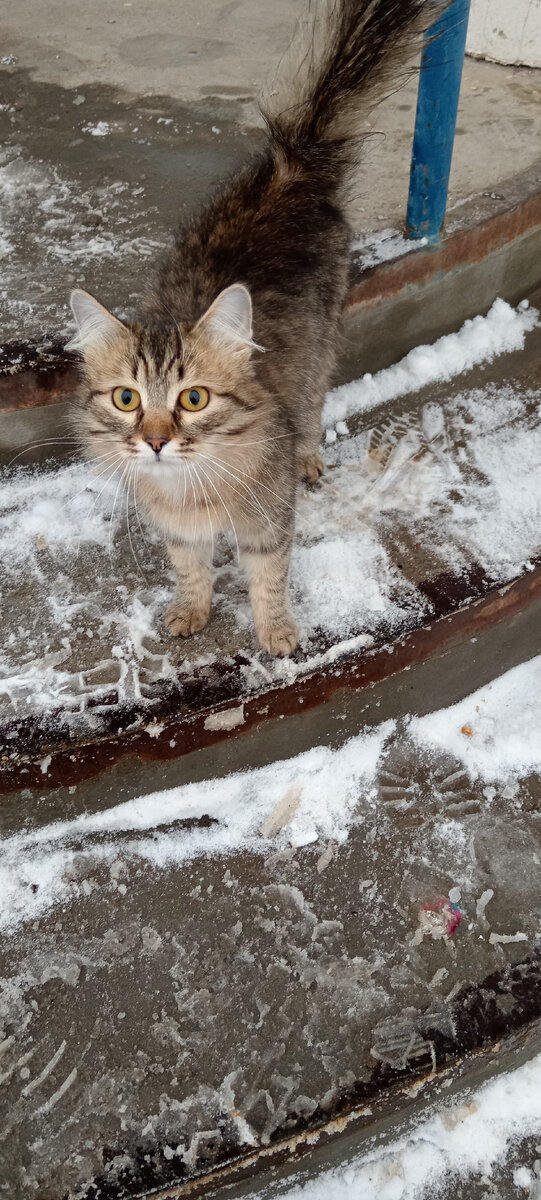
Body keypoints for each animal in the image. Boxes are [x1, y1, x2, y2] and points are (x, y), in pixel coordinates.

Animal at [67, 0, 441, 657]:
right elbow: (191, 571)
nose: (156, 441)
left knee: (314, 406)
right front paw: (190, 611)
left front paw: (278, 633)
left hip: (322, 344)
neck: (191, 488)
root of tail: (291, 172)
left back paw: (308, 457)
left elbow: (268, 579)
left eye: (193, 399)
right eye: (126, 399)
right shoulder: (180, 533)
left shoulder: (269, 525)